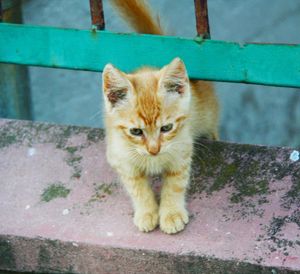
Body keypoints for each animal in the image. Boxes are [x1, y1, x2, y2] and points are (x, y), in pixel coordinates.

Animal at [102, 0, 219, 235]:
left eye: (166, 128)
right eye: (136, 131)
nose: (154, 150)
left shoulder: (183, 149)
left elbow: (175, 183)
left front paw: (171, 213)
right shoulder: (119, 156)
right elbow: (136, 186)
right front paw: (147, 212)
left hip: (207, 116)